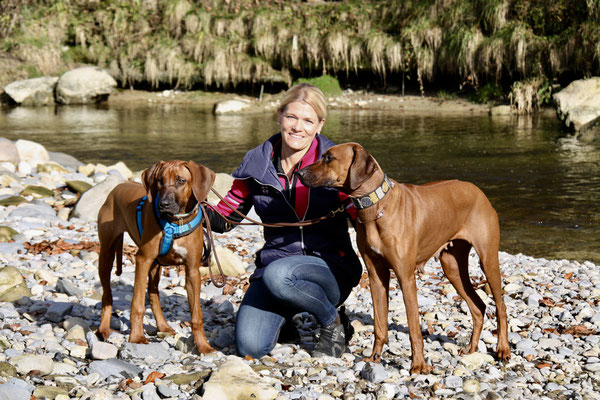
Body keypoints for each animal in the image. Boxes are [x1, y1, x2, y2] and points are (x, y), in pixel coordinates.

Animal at [98, 159, 218, 354]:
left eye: (181, 180)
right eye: (160, 180)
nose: (163, 204)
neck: (176, 222)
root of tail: (117, 187)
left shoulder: (192, 270)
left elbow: (196, 314)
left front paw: (203, 345)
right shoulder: (143, 259)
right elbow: (137, 304)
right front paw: (136, 337)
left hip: (156, 267)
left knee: (153, 295)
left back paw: (162, 326)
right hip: (106, 256)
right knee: (107, 295)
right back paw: (103, 329)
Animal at [296, 144, 510, 376]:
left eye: (329, 158)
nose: (299, 174)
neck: (376, 206)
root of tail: (478, 190)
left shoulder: (406, 277)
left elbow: (414, 327)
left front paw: (418, 365)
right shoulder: (376, 276)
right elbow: (380, 324)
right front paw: (374, 358)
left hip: (488, 259)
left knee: (500, 306)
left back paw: (503, 350)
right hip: (452, 266)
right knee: (478, 306)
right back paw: (471, 348)